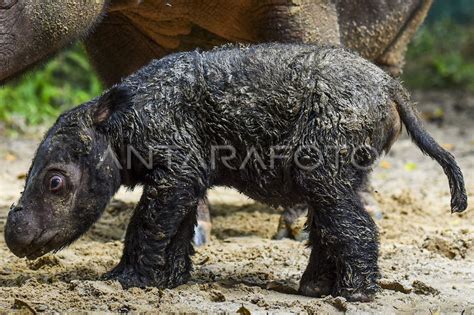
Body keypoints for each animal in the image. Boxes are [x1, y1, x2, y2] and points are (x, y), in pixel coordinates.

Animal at [5, 43, 468, 302]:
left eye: (55, 182)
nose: (14, 236)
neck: (121, 123)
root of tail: (392, 89)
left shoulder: (174, 170)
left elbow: (146, 224)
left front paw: (126, 281)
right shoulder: (185, 175)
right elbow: (175, 229)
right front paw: (168, 282)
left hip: (322, 164)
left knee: (352, 221)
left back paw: (354, 295)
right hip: (336, 172)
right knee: (330, 219)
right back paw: (315, 290)